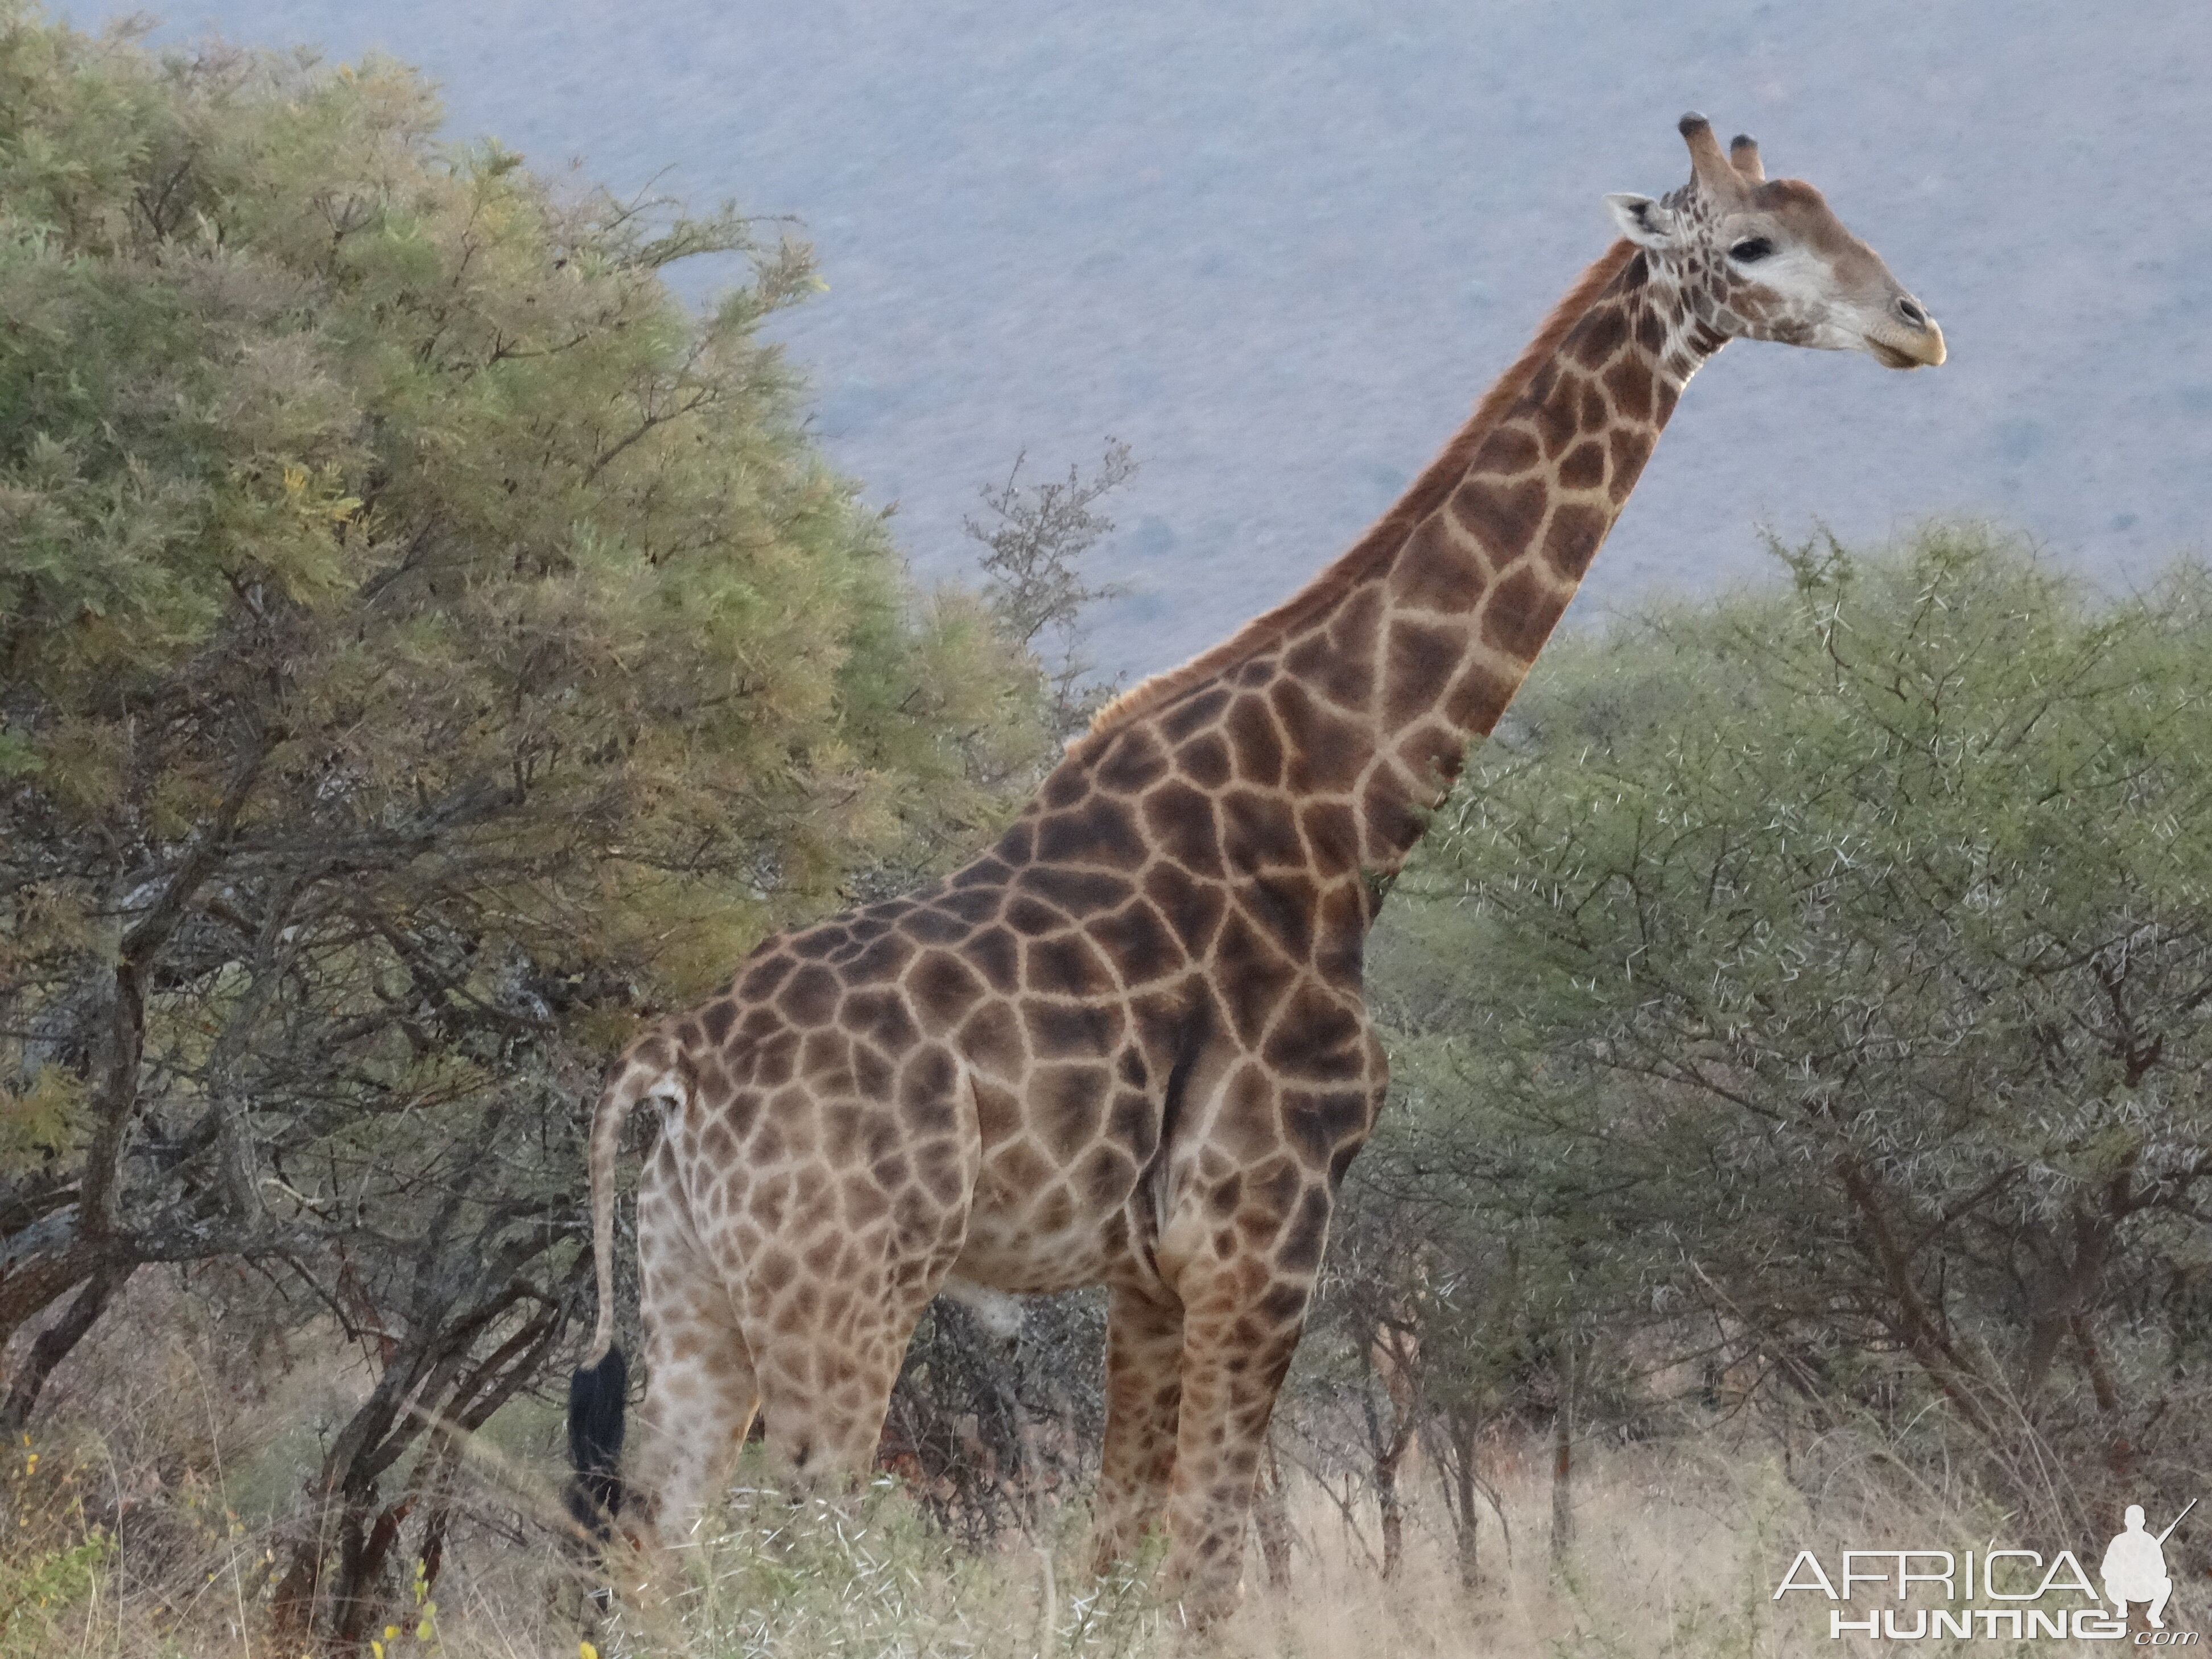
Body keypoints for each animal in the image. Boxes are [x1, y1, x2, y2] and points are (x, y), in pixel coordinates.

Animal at [566, 114, 1937, 1628]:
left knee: (654, 1557)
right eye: (1753, 243)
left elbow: (1116, 1565)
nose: (1915, 328)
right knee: (801, 1564)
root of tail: (669, 1067)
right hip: (843, 1296)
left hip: (694, 1294)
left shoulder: (1150, 1273)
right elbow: (1203, 1570)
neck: (1343, 809)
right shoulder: (1269, 1230)